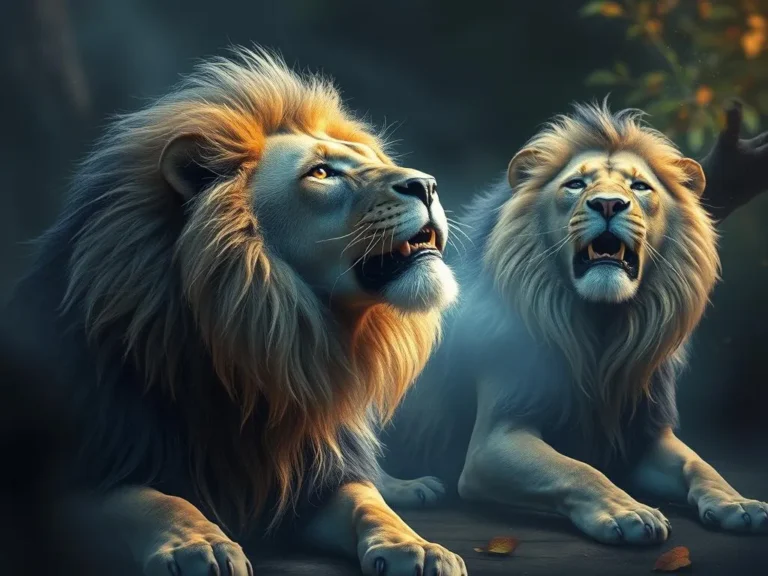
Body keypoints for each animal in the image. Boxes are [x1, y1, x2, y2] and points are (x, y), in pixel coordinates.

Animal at [3, 47, 466, 575]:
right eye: (321, 172)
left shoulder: (312, 475)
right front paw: (199, 545)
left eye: (371, 161)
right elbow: (153, 499)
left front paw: (417, 546)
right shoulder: (81, 474)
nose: (426, 185)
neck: (255, 350)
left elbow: (367, 501)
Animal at [380, 101, 768, 544]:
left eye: (640, 187)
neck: (600, 327)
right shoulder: (495, 438)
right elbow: (577, 470)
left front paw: (739, 504)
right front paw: (629, 512)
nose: (608, 205)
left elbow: (700, 465)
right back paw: (412, 488)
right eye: (576, 184)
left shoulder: (643, 434)